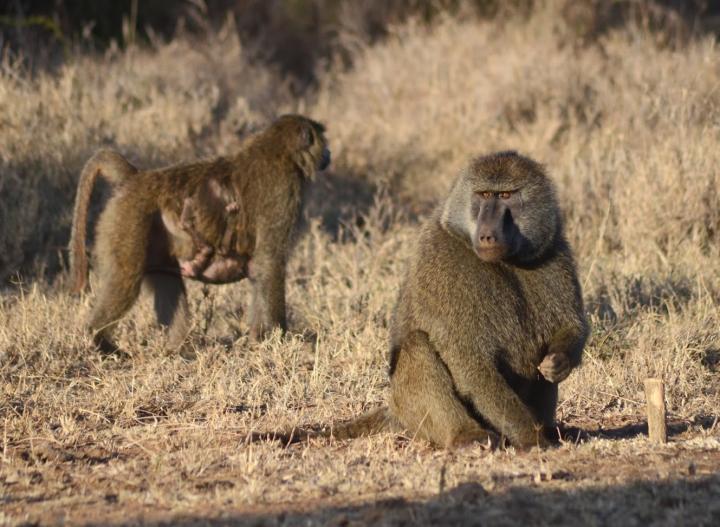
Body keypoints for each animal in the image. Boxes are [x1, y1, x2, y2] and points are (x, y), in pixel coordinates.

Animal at [68, 114, 331, 354]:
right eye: (321, 137)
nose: (329, 153)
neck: (279, 151)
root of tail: (136, 178)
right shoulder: (282, 192)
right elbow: (269, 262)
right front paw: (279, 339)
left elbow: (259, 270)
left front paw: (260, 339)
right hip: (128, 220)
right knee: (125, 281)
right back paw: (100, 343)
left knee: (168, 285)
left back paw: (179, 351)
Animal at [257, 151, 588, 449]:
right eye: (483, 195)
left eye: (505, 195)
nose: (487, 235)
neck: (506, 261)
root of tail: (395, 412)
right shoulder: (443, 262)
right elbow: (470, 360)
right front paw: (531, 438)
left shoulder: (554, 253)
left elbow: (572, 327)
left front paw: (558, 363)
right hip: (413, 412)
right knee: (417, 346)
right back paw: (467, 436)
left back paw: (555, 428)